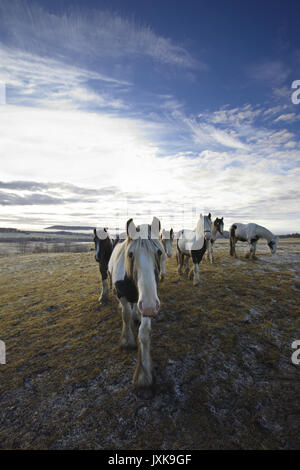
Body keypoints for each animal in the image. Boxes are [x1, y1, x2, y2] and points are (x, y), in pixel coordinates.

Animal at [108, 217, 165, 390]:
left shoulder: (148, 300)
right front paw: (127, 341)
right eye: (131, 254)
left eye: (159, 252)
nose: (149, 306)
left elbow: (144, 332)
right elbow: (125, 316)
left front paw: (144, 375)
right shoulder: (123, 296)